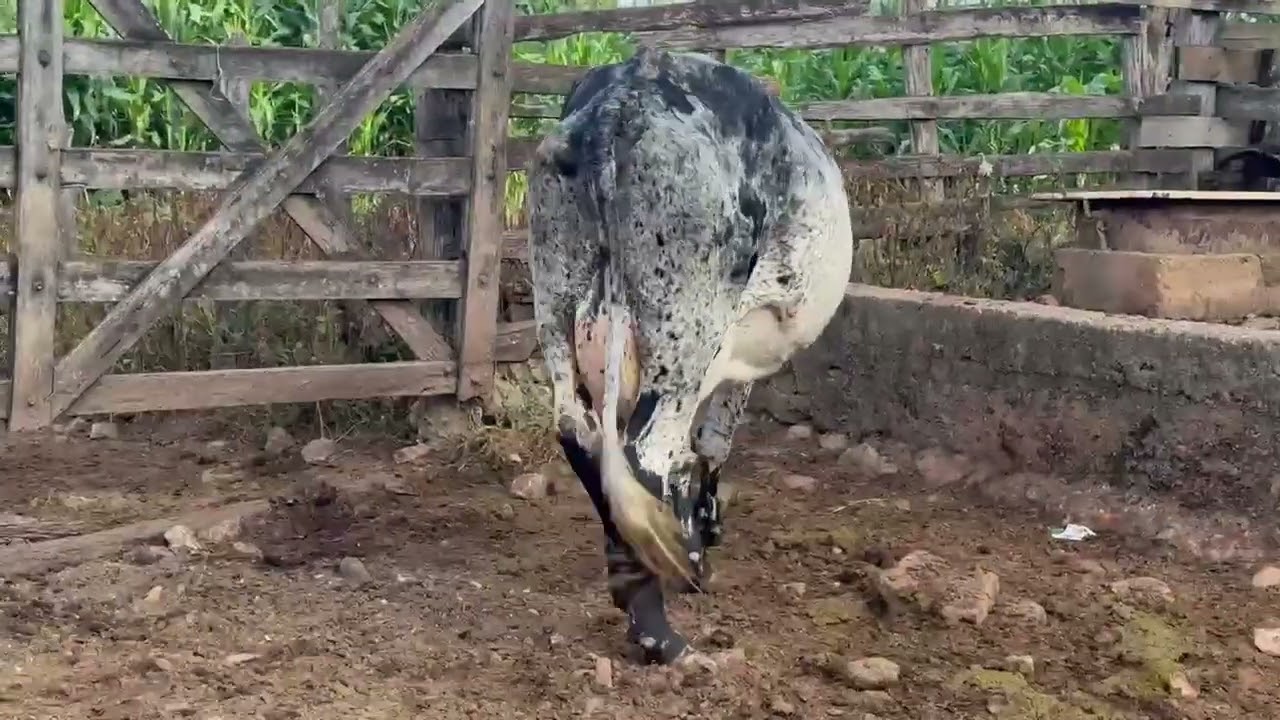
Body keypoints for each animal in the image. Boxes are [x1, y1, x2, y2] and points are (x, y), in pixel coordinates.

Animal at [526, 46, 853, 665]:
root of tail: (623, 98)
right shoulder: (735, 365)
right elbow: (709, 446)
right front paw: (702, 538)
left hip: (554, 309)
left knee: (580, 434)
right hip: (686, 336)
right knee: (649, 454)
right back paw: (663, 626)